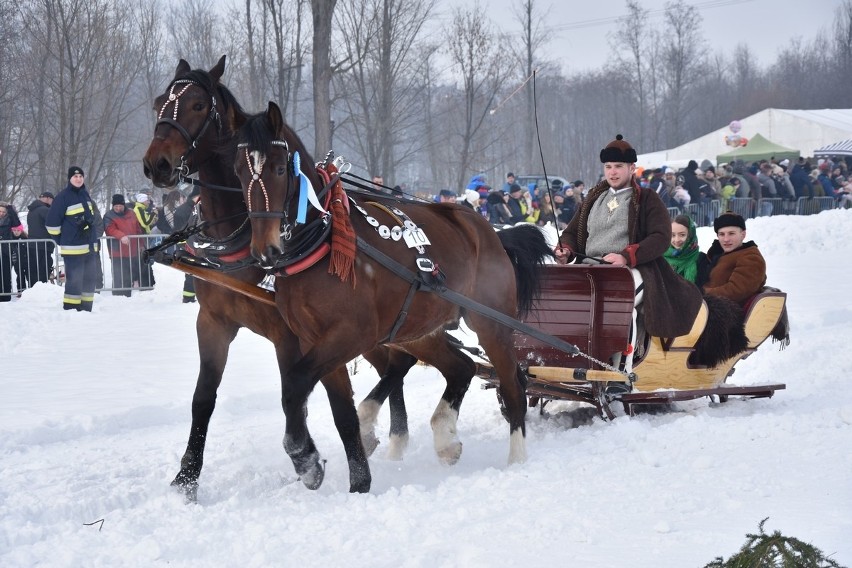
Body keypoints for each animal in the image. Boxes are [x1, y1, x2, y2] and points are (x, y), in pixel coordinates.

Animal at [143, 57, 482, 496]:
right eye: (158, 104)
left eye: (198, 105)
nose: (157, 164)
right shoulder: (215, 320)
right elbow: (204, 398)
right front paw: (186, 479)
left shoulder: (289, 334)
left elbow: (296, 392)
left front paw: (306, 458)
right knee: (406, 362)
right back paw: (392, 436)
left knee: (402, 362)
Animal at [233, 101, 552, 466]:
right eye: (238, 171)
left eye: (278, 169)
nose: (265, 250)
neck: (324, 243)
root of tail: (491, 232)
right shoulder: (312, 338)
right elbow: (304, 389)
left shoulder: (353, 333)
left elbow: (297, 383)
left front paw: (304, 451)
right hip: (418, 328)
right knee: (463, 367)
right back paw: (445, 436)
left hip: (491, 323)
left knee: (513, 385)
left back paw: (516, 457)